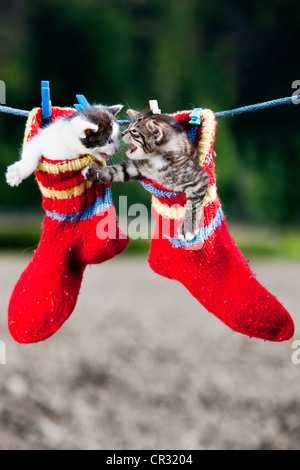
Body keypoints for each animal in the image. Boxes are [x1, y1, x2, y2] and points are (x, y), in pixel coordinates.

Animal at [82, 109, 209, 241]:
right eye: (129, 126)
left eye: (134, 131)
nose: (122, 134)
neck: (156, 159)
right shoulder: (137, 167)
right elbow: (117, 170)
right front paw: (96, 172)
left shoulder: (199, 179)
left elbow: (193, 204)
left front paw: (188, 228)